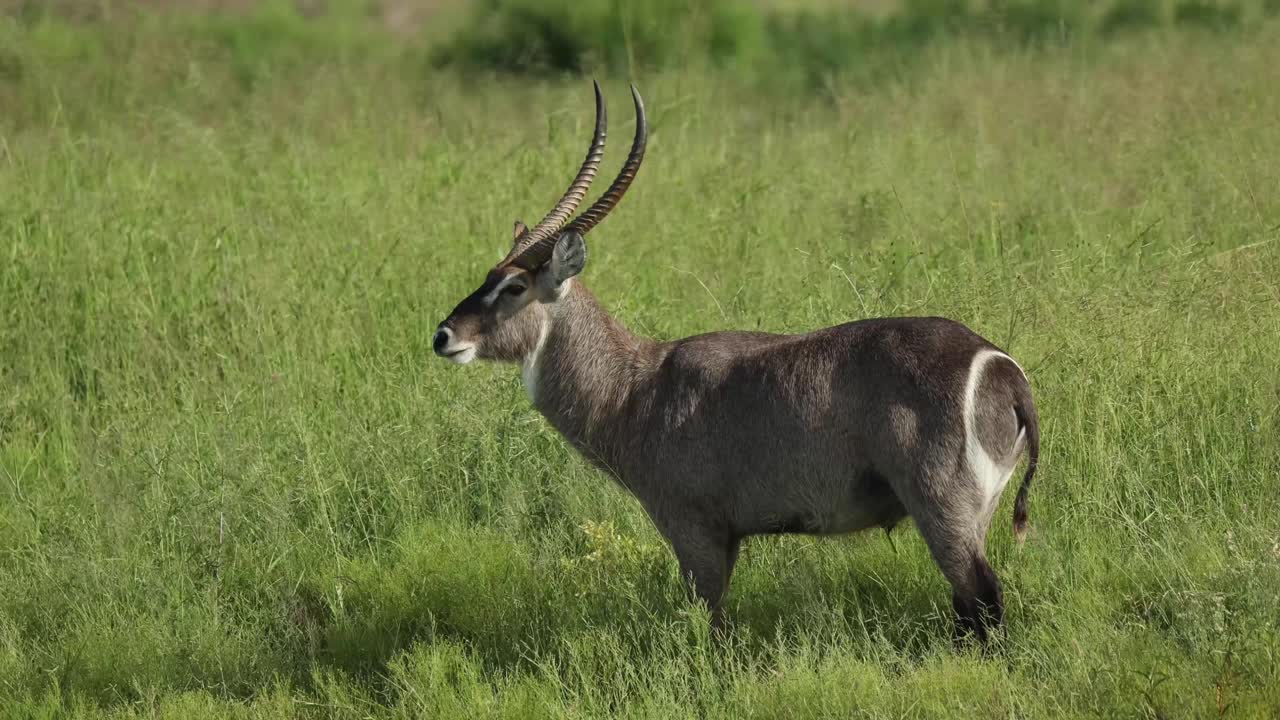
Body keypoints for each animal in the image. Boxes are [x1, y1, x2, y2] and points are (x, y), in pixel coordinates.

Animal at [433, 82, 1040, 641]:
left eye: (514, 287)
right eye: (488, 276)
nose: (443, 335)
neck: (635, 387)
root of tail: (1001, 369)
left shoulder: (694, 529)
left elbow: (710, 621)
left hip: (942, 509)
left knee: (983, 598)